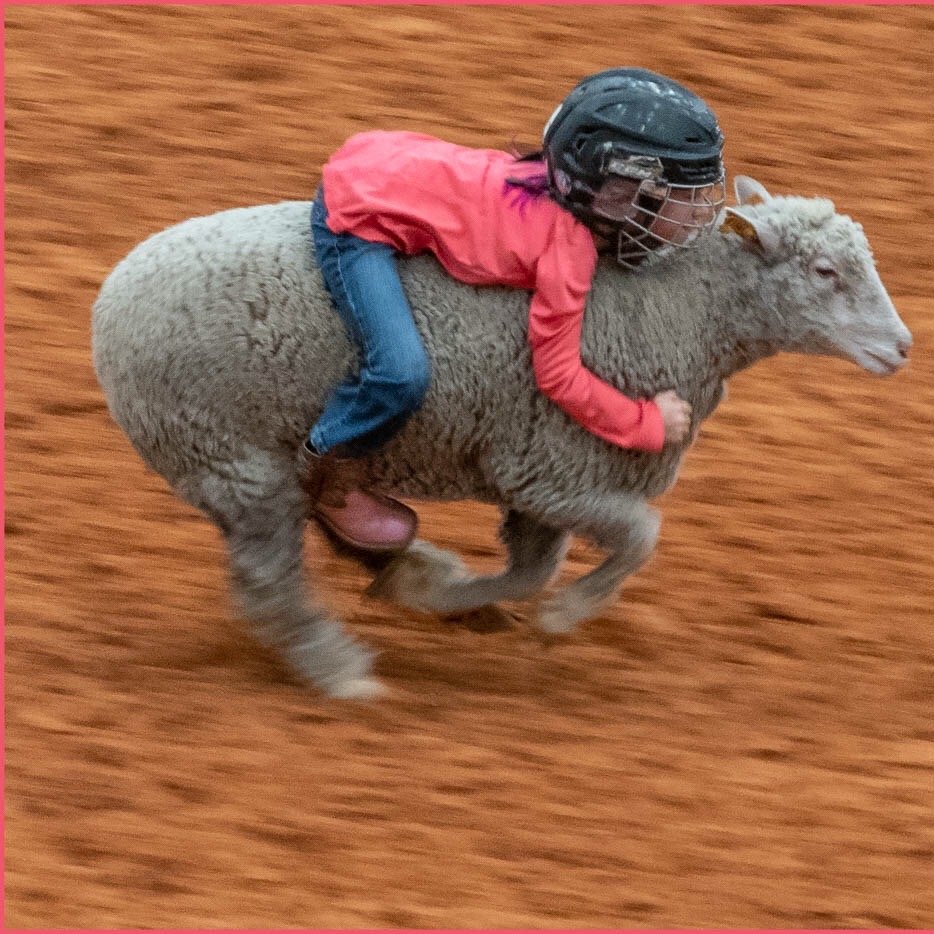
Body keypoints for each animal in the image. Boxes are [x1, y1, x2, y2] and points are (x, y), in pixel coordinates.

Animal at [93, 179, 916, 700]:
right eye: (826, 271)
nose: (904, 347)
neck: (675, 310)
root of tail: (109, 305)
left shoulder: (537, 483)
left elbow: (530, 570)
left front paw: (435, 595)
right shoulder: (550, 467)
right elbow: (638, 538)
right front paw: (561, 619)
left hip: (242, 468)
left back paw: (392, 557)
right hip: (237, 462)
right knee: (268, 582)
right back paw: (338, 670)